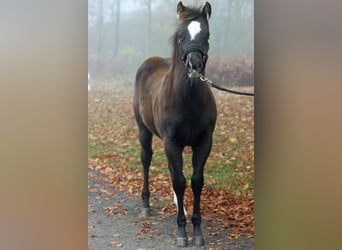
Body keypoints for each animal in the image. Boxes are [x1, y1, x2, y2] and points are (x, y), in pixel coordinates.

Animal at [134, 1, 216, 248]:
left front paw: (197, 230)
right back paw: (146, 205)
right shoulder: (171, 142)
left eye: (206, 35)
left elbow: (196, 181)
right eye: (181, 36)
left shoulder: (203, 142)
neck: (187, 99)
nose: (194, 66)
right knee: (146, 160)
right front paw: (182, 231)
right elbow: (179, 181)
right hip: (144, 131)